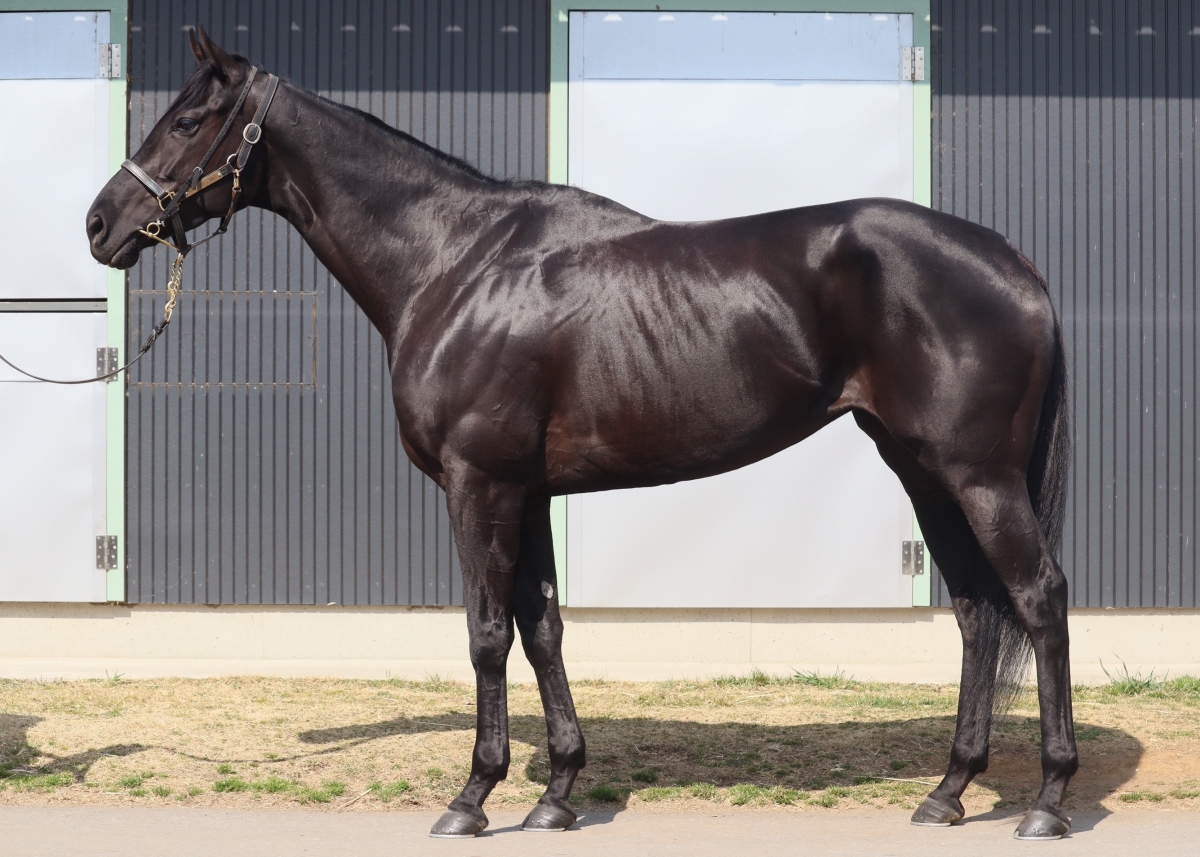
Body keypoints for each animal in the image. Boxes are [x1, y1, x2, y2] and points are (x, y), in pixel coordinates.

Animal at [86, 27, 1077, 841]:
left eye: (188, 119)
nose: (100, 224)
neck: (453, 263)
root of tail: (1015, 263)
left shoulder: (478, 483)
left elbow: (488, 633)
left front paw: (472, 796)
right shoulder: (524, 493)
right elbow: (543, 627)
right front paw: (557, 792)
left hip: (978, 474)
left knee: (1037, 596)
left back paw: (1049, 799)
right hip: (921, 468)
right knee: (978, 609)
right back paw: (949, 789)